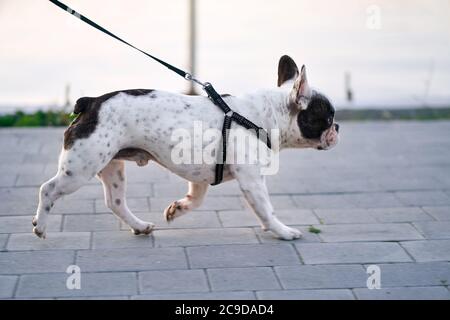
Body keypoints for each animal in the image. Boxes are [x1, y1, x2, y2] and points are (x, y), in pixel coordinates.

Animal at [33, 55, 340, 240]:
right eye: (327, 117)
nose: (337, 128)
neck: (263, 116)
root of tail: (91, 102)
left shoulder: (201, 175)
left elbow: (197, 198)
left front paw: (177, 209)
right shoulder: (252, 180)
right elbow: (266, 208)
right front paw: (282, 231)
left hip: (111, 166)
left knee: (115, 202)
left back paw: (140, 226)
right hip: (80, 169)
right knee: (48, 189)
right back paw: (41, 226)